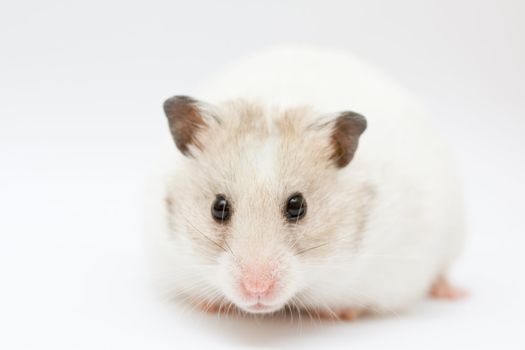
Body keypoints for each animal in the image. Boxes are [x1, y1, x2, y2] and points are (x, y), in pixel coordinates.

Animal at [144, 46, 466, 320]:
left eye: (298, 206)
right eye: (218, 207)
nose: (257, 290)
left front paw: (344, 314)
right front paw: (208, 305)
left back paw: (454, 293)